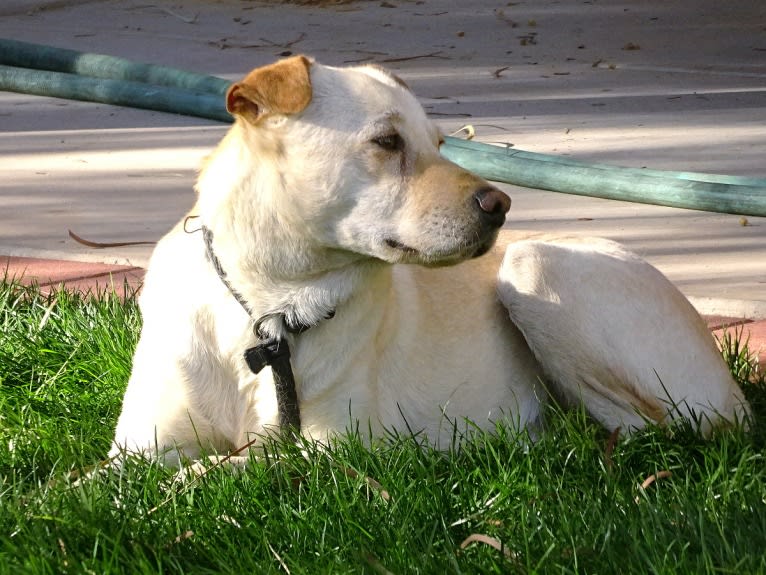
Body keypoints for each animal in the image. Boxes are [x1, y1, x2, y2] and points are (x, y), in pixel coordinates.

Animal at [111, 55, 752, 468]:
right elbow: (103, 484)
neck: (267, 308)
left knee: (649, 431)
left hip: (535, 265)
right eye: (387, 142)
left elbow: (216, 471)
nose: (501, 205)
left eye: (440, 143)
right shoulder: (140, 447)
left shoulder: (328, 451)